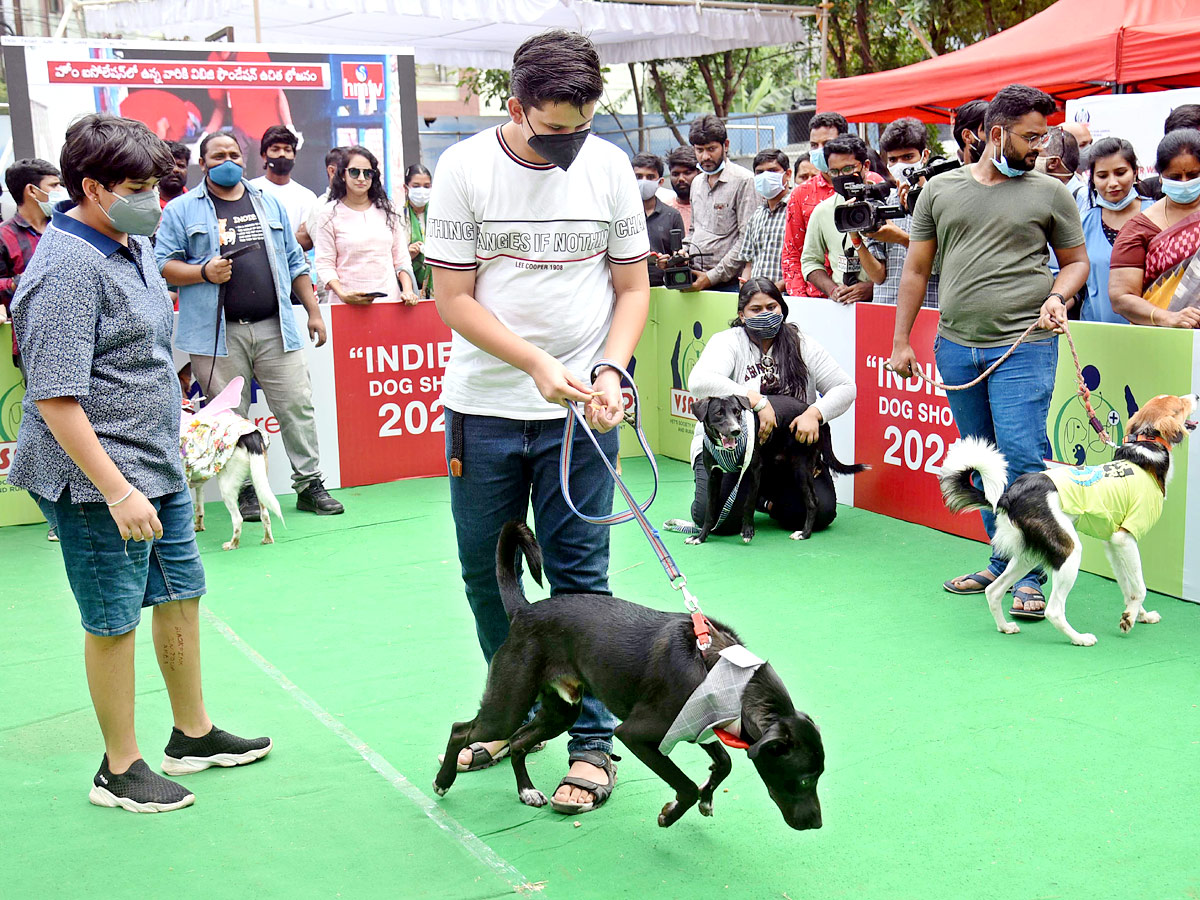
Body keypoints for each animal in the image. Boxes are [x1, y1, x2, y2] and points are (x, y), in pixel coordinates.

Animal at [178, 372, 282, 554]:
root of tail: (251, 436)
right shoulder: (198, 482)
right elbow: (199, 509)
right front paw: (198, 527)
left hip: (226, 486)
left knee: (238, 519)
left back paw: (232, 544)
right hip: (259, 479)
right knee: (265, 515)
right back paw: (267, 539)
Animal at [434, 525, 825, 835]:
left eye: (819, 775)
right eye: (805, 778)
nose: (816, 824)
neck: (728, 677)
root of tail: (524, 611)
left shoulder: (699, 726)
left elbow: (724, 763)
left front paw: (707, 798)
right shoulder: (637, 736)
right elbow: (686, 785)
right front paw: (671, 814)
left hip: (561, 711)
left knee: (517, 742)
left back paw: (525, 791)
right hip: (509, 705)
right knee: (461, 729)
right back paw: (443, 781)